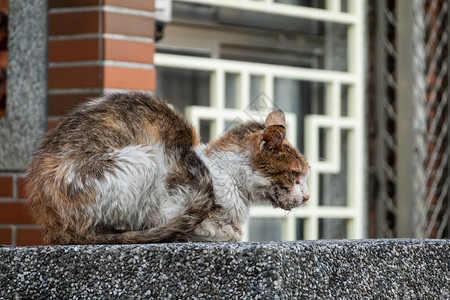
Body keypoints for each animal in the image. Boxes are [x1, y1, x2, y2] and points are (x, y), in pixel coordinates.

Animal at [25, 92, 310, 245]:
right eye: (294, 174)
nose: (307, 197)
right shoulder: (170, 208)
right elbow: (223, 231)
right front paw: (218, 230)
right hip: (142, 157)